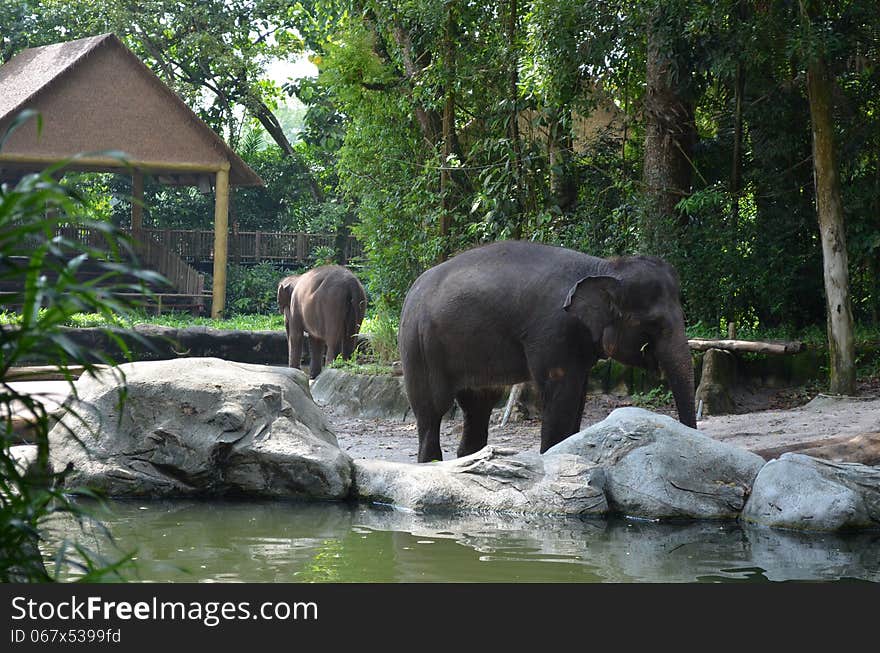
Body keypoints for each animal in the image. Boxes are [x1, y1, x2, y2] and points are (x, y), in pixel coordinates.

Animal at [398, 241, 696, 464]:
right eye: (654, 325)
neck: (603, 267)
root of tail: (412, 289)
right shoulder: (554, 332)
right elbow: (561, 394)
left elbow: (578, 397)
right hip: (418, 346)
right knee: (432, 411)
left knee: (478, 406)